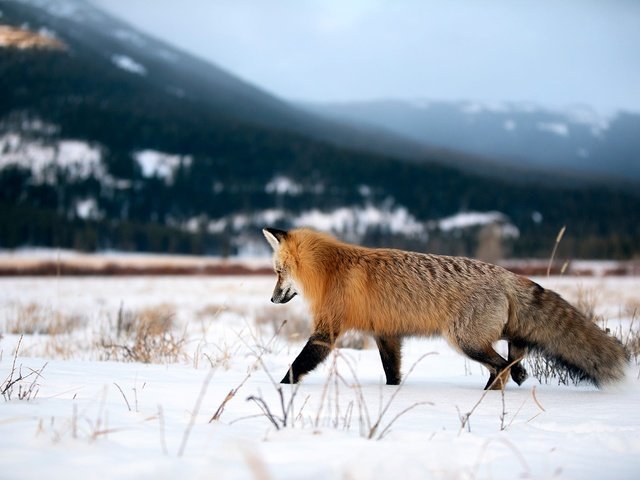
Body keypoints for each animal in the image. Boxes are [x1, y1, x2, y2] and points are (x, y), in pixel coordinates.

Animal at [264, 227, 632, 388]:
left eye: (278, 272)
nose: (272, 299)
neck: (330, 270)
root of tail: (508, 274)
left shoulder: (327, 330)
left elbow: (298, 364)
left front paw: (280, 389)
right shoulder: (386, 333)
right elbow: (392, 370)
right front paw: (393, 392)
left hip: (465, 340)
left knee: (500, 366)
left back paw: (492, 393)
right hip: (489, 336)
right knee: (514, 356)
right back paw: (515, 377)